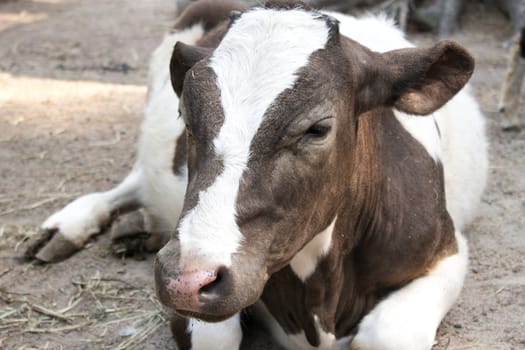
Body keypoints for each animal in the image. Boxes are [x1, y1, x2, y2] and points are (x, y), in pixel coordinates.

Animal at [26, 0, 488, 350]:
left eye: (317, 128)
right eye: (186, 118)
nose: (186, 280)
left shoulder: (446, 250)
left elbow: (388, 334)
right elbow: (216, 336)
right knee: (134, 181)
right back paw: (69, 227)